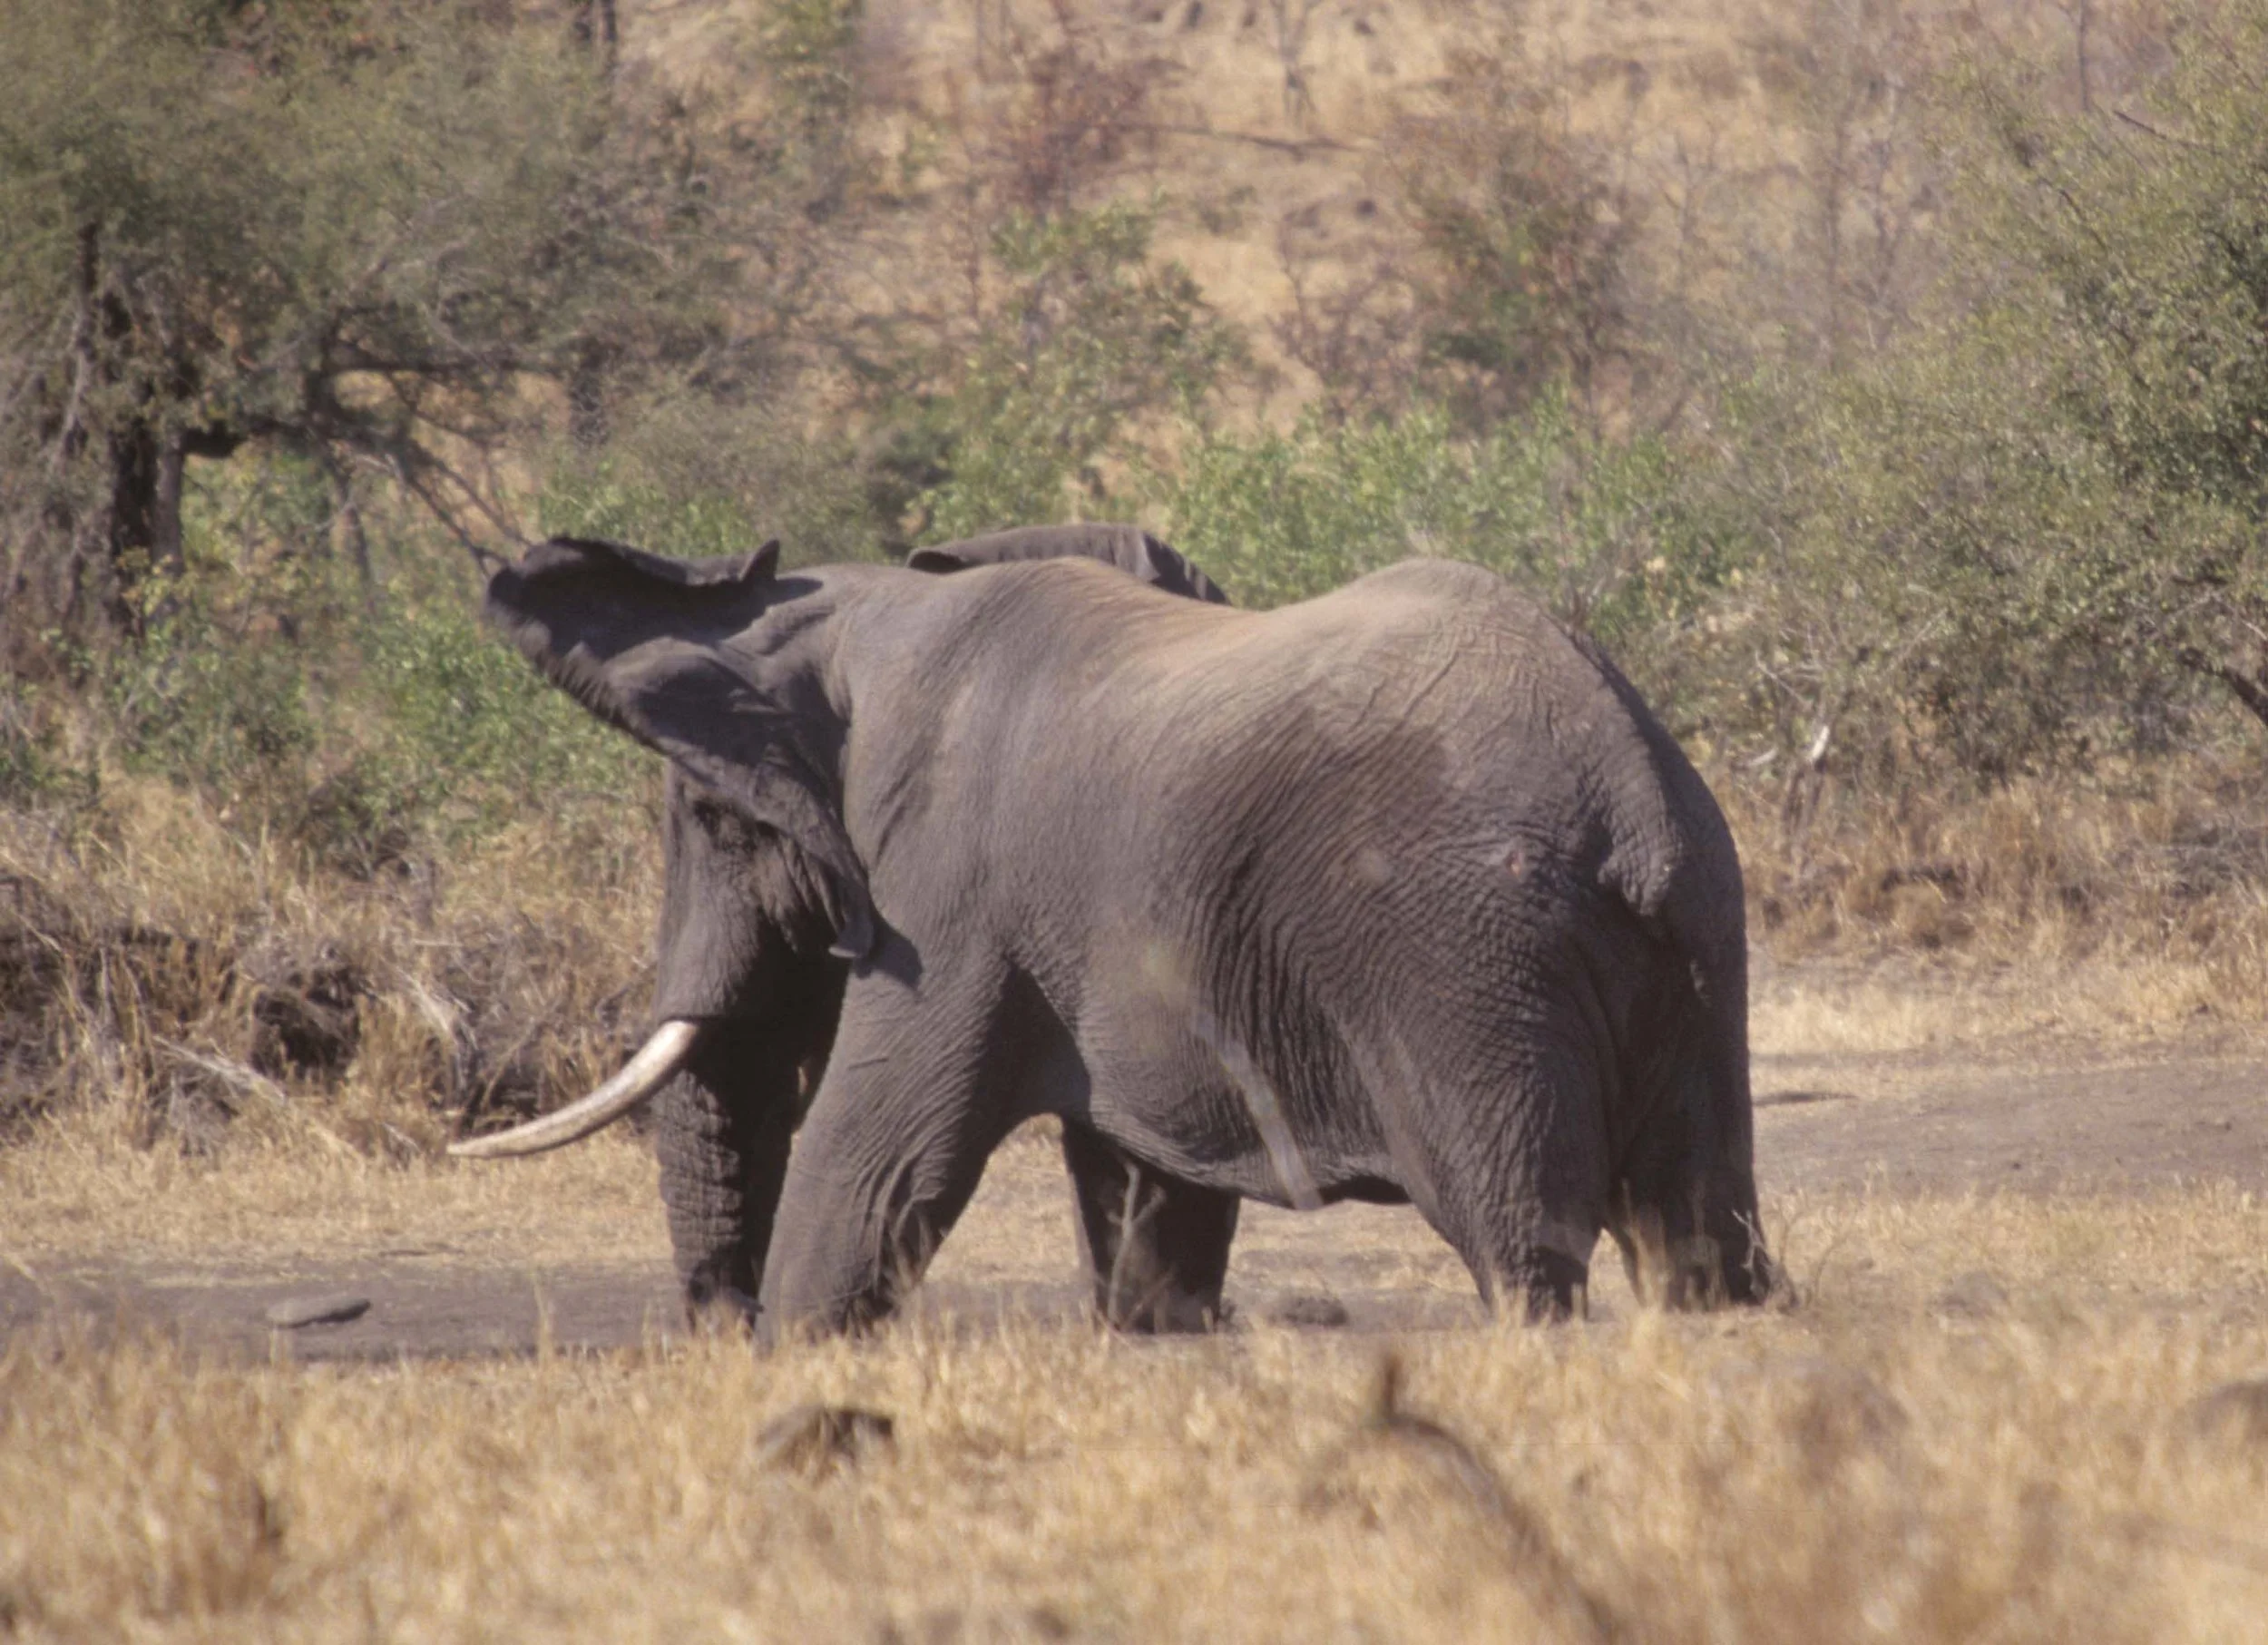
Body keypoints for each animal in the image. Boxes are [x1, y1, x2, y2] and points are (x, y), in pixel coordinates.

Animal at [455, 532, 1774, 1336]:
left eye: (720, 822)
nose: (715, 1324)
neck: (873, 615)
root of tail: (1632, 798)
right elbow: (1151, 1205)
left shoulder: (947, 890)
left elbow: (873, 1164)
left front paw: (795, 1339)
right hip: (1697, 952)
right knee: (1702, 1234)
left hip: (1468, 957)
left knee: (1521, 1247)